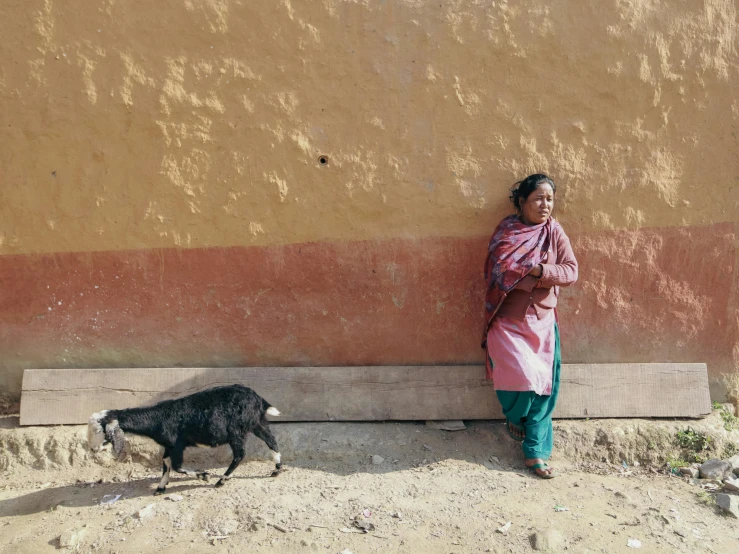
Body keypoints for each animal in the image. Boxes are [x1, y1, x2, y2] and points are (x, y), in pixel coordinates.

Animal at [86, 382, 282, 494]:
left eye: (98, 430)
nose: (92, 449)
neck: (158, 419)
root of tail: (258, 398)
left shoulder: (177, 445)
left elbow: (177, 466)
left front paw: (204, 475)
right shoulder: (168, 446)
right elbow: (165, 464)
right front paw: (161, 487)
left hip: (236, 431)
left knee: (240, 454)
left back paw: (221, 480)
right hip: (256, 422)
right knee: (271, 441)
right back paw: (277, 470)